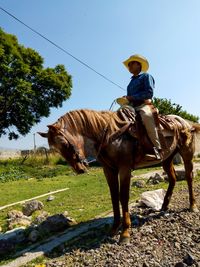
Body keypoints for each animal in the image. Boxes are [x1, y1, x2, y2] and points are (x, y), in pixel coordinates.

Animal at [38, 108, 199, 245]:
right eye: (55, 149)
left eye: (65, 143)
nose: (80, 169)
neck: (110, 136)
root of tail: (185, 122)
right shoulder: (109, 170)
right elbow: (114, 197)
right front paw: (114, 228)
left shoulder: (125, 169)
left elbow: (123, 197)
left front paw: (125, 233)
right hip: (166, 158)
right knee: (172, 179)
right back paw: (164, 206)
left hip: (186, 154)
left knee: (189, 177)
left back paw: (192, 205)